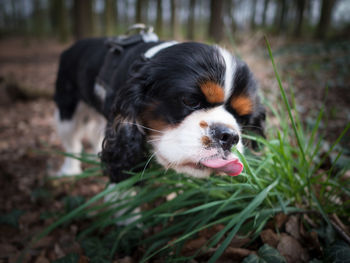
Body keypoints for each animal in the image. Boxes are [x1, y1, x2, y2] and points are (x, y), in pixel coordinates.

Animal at [53, 27, 264, 184]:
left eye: (243, 118)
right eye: (190, 100)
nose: (228, 137)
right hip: (66, 111)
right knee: (71, 141)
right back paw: (69, 170)